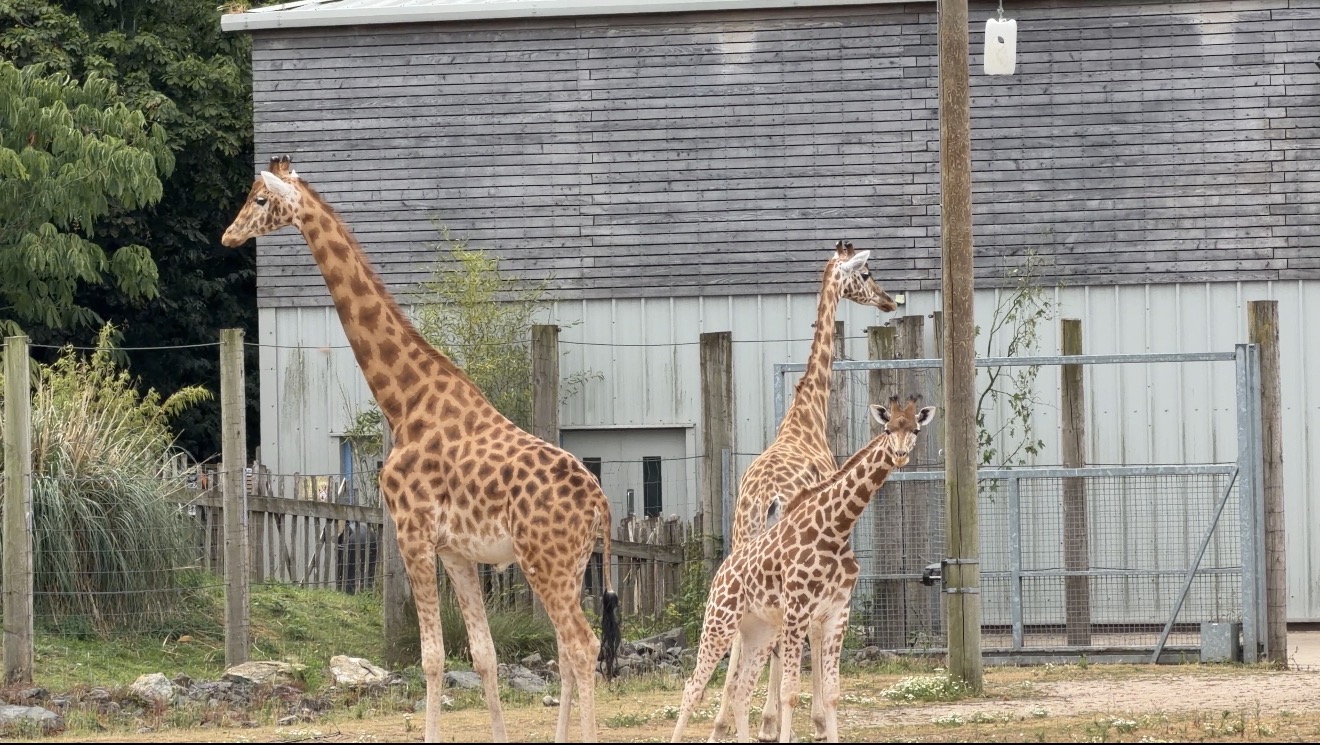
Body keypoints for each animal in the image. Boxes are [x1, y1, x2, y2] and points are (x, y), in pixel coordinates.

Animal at [221, 156, 621, 744]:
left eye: (260, 200)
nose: (228, 235)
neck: (406, 402)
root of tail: (601, 502)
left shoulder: (412, 532)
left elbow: (432, 659)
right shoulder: (456, 550)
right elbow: (483, 656)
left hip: (545, 561)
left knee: (582, 644)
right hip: (568, 566)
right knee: (568, 652)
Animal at [672, 397, 935, 743]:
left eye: (915, 429)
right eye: (888, 429)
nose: (901, 454)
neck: (835, 529)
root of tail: (721, 571)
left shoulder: (838, 611)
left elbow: (833, 692)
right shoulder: (797, 610)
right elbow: (790, 693)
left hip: (760, 630)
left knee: (742, 691)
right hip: (720, 621)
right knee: (693, 687)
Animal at [711, 240, 897, 740]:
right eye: (867, 274)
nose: (891, 301)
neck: (806, 418)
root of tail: (765, 497)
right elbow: (811, 634)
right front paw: (803, 718)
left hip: (743, 538)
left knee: (740, 626)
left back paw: (722, 719)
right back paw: (760, 718)